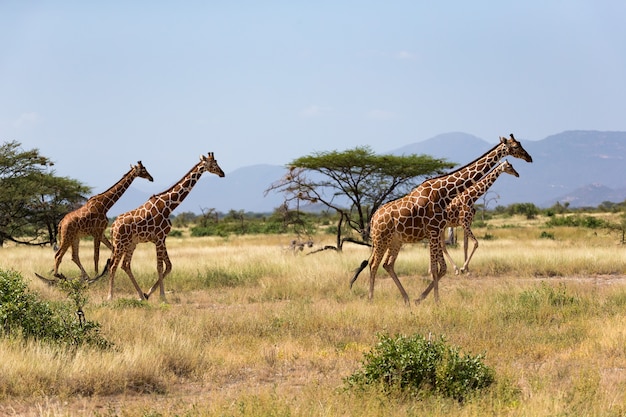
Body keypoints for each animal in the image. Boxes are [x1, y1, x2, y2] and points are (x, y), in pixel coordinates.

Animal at [103, 152, 225, 300]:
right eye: (213, 164)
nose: (222, 173)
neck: (168, 206)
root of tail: (113, 227)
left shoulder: (162, 238)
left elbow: (169, 266)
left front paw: (148, 293)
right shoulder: (160, 238)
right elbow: (160, 267)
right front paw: (162, 296)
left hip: (131, 244)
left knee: (125, 265)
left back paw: (141, 295)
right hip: (120, 244)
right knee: (113, 266)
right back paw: (110, 297)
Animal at [348, 135, 528, 304]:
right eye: (515, 146)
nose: (529, 158)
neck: (444, 192)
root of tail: (373, 218)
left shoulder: (438, 230)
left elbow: (443, 267)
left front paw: (423, 298)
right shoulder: (438, 229)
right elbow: (438, 267)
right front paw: (436, 300)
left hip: (395, 241)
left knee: (387, 264)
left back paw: (406, 299)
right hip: (381, 239)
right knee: (373, 264)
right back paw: (371, 299)